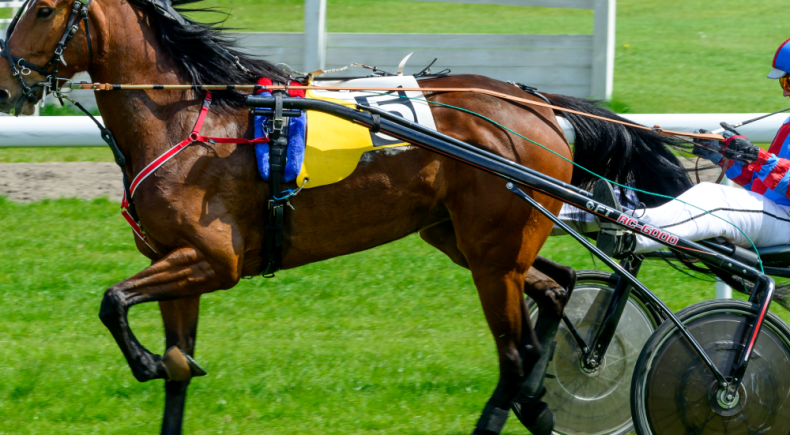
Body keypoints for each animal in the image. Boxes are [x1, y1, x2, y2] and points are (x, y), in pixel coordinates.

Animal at [0, 0, 692, 435]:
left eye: (42, 9)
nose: (6, 85)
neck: (187, 125)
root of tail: (537, 104)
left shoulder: (212, 261)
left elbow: (113, 301)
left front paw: (141, 363)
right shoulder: (177, 266)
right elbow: (175, 366)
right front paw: (162, 365)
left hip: (492, 256)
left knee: (516, 352)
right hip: (464, 238)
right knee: (557, 285)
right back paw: (538, 401)